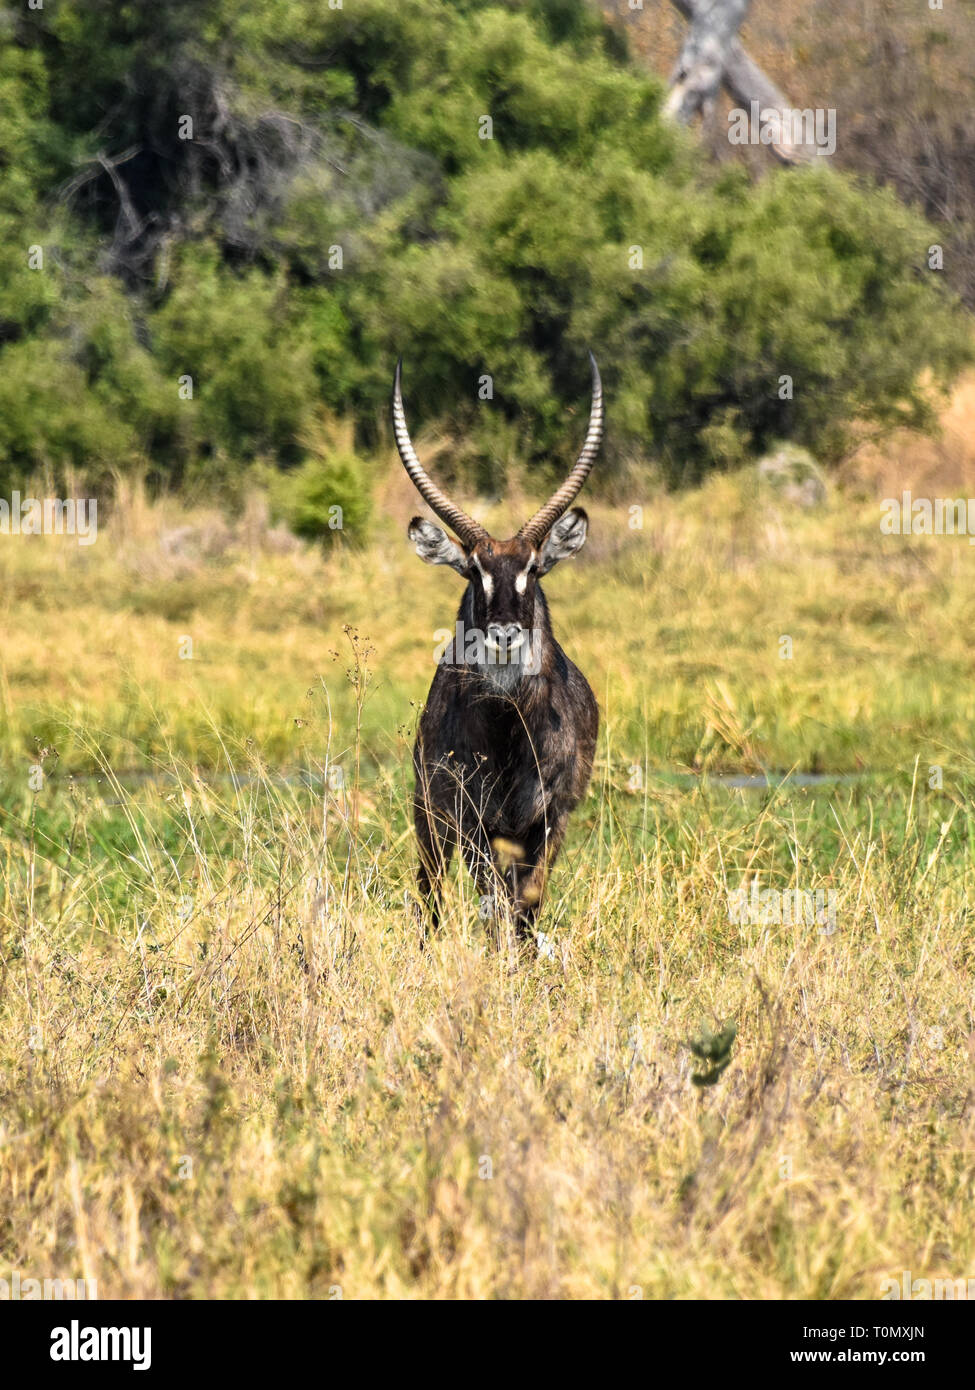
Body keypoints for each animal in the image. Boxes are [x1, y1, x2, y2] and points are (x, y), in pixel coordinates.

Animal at [389, 353, 600, 939]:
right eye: (474, 570)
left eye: (532, 568)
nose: (504, 633)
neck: (508, 733)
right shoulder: (470, 823)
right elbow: (493, 900)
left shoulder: (550, 819)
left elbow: (526, 901)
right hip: (428, 815)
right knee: (431, 890)